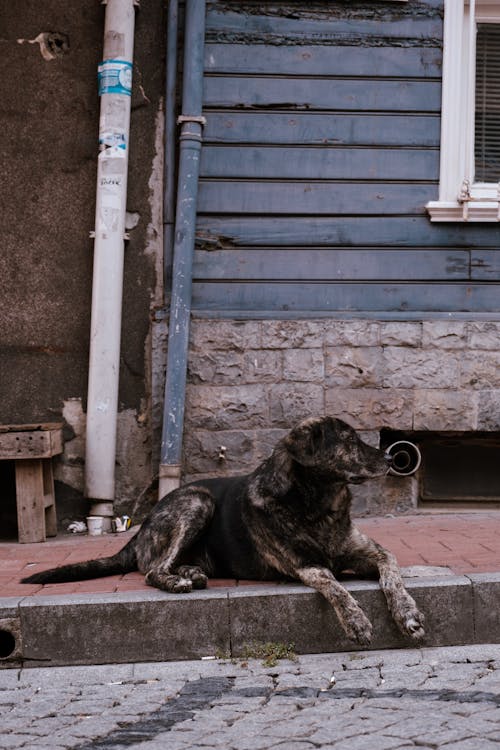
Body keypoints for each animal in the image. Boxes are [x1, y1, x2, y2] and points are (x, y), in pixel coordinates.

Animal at [21, 418, 424, 648]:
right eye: (349, 441)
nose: (391, 458)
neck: (318, 505)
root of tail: (139, 530)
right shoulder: (307, 565)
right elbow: (336, 587)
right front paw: (356, 621)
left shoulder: (373, 553)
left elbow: (392, 572)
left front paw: (407, 614)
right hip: (197, 501)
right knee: (153, 571)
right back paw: (178, 580)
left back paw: (191, 572)